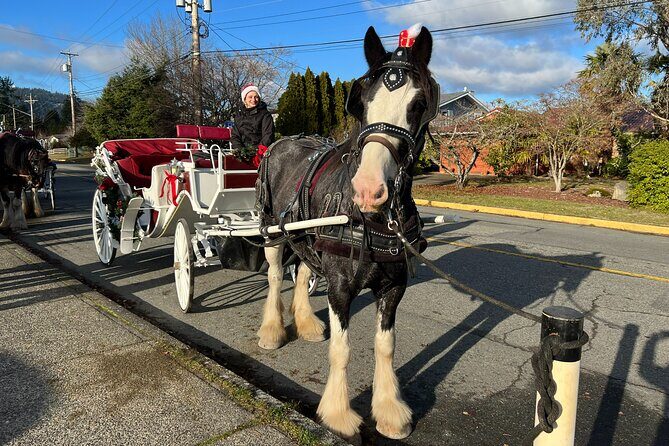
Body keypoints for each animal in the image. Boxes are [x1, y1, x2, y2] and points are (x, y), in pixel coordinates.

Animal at [255, 25, 439, 439]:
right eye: (362, 103)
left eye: (419, 104)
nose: (369, 190)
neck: (373, 221)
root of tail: (284, 140)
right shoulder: (340, 287)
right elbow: (342, 349)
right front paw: (338, 414)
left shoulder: (394, 285)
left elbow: (385, 346)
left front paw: (389, 411)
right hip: (273, 231)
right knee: (274, 277)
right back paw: (272, 330)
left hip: (305, 237)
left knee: (302, 270)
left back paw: (306, 324)